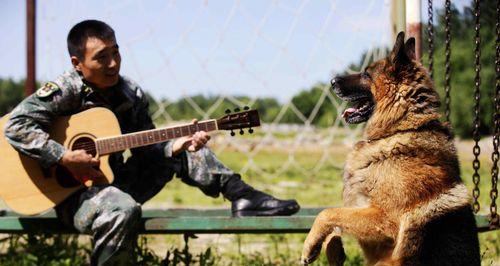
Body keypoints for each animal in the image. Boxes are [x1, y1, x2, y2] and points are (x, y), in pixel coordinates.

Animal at [300, 31, 480, 266]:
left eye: (366, 74)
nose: (331, 81)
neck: (399, 130)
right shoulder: (360, 208)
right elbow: (336, 217)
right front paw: (332, 249)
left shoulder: (384, 219)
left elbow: (328, 213)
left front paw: (310, 245)